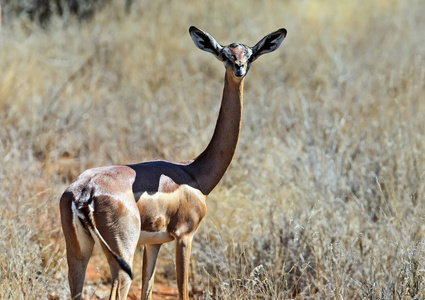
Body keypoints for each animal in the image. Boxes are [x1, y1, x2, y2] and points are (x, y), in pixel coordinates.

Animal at [59, 26, 284, 300]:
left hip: (78, 253)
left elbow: (147, 291)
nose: (239, 68)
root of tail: (84, 192)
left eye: (249, 54)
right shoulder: (184, 237)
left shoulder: (154, 243)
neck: (194, 173)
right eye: (224, 54)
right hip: (121, 260)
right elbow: (183, 292)